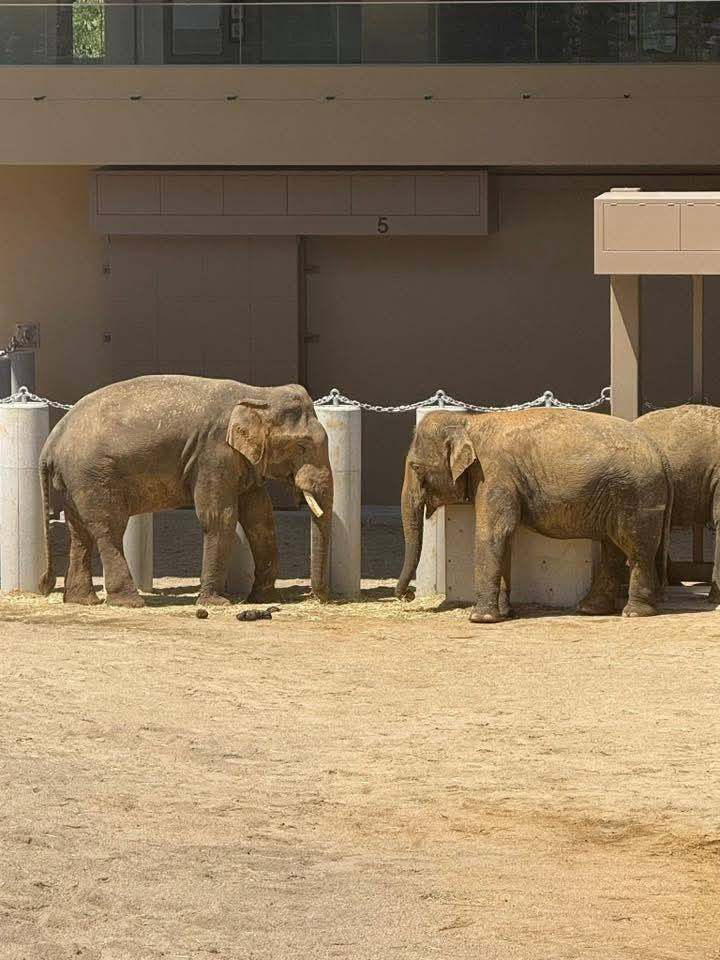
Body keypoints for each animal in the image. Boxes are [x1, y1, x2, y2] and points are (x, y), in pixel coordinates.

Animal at [38, 375, 333, 608]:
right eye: (302, 446)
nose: (317, 597)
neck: (259, 393)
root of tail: (51, 441)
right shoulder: (213, 453)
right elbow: (220, 517)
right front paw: (216, 603)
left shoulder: (243, 460)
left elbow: (261, 517)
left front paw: (264, 599)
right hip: (92, 475)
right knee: (109, 529)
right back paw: (130, 602)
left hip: (76, 480)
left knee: (80, 532)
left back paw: (81, 601)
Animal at [396, 408, 673, 622]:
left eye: (416, 467)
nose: (407, 596)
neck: (469, 423)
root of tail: (660, 453)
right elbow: (506, 536)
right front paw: (505, 614)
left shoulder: (495, 474)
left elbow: (494, 532)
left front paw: (480, 618)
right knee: (612, 550)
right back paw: (591, 609)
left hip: (638, 496)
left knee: (635, 550)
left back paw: (634, 613)